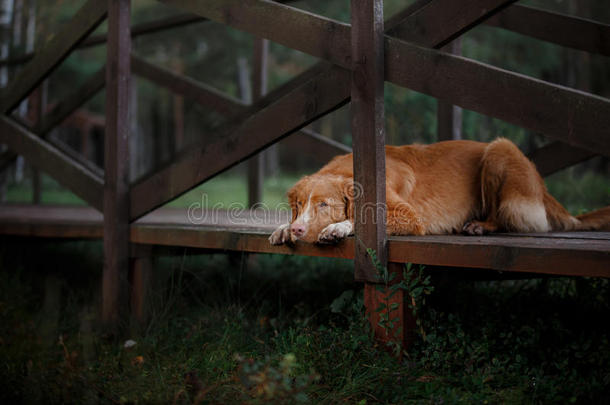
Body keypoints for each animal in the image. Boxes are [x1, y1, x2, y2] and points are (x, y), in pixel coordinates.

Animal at [270, 137, 608, 245]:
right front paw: (283, 228)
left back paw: (480, 226)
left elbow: (362, 219)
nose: (299, 229)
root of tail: (543, 188)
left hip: (500, 149)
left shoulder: (410, 216)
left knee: (504, 216)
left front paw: (337, 228)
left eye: (324, 205)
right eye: (299, 205)